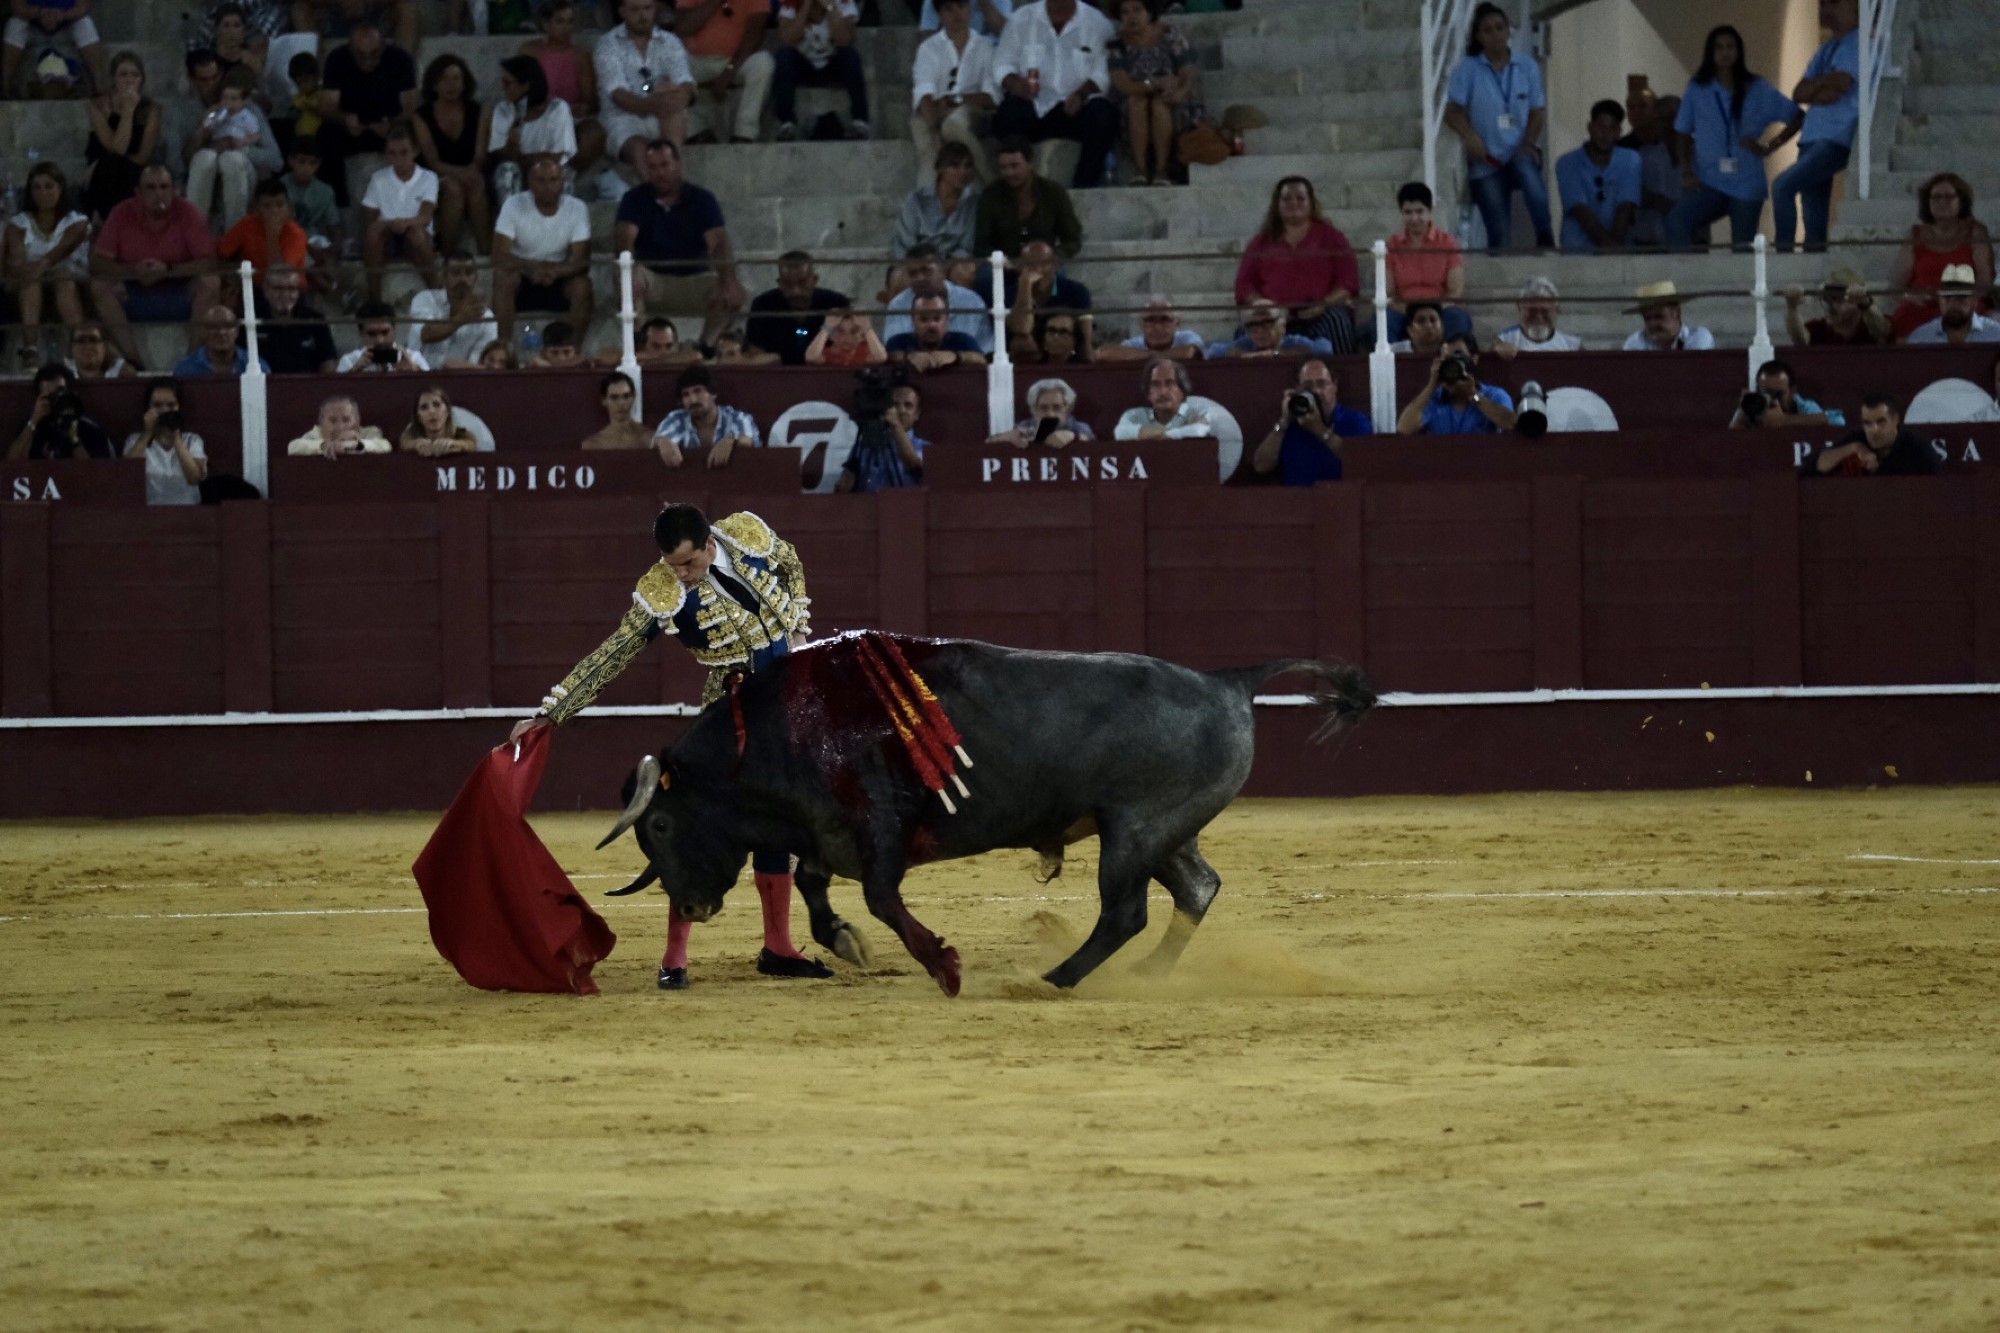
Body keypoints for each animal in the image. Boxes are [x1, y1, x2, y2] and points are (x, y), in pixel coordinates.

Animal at [592, 632, 1376, 984]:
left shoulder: (877, 825)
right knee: (1198, 888)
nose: (692, 906)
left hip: (1134, 828)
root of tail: (1228, 681)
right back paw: (1146, 973)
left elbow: (879, 895)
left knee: (1127, 911)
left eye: (659, 824)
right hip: (1164, 831)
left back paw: (1056, 979)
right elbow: (816, 889)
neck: (778, 728)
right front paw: (846, 942)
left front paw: (942, 962)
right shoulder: (824, 833)